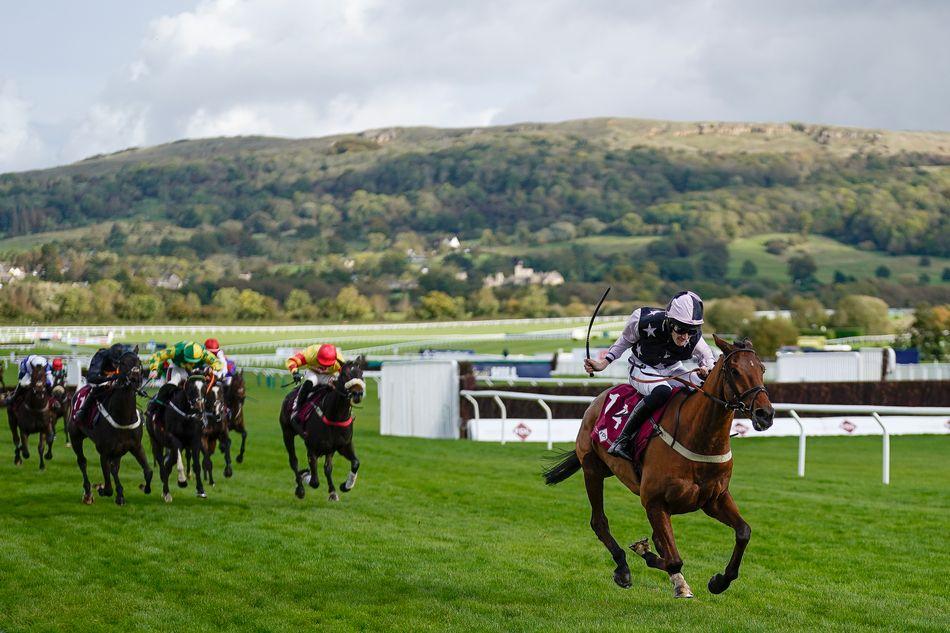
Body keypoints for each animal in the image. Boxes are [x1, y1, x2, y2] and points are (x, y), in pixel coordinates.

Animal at [68, 350, 152, 504]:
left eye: (139, 362)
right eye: (123, 363)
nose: (135, 379)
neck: (123, 417)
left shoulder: (136, 446)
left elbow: (148, 472)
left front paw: (144, 487)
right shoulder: (104, 452)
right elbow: (107, 488)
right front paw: (101, 488)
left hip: (118, 450)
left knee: (114, 468)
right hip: (75, 436)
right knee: (82, 461)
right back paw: (88, 492)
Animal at [145, 372, 208, 502]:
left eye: (204, 388)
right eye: (191, 388)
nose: (199, 407)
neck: (186, 416)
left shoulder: (195, 440)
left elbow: (197, 465)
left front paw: (201, 490)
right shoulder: (174, 439)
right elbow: (178, 462)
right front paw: (182, 481)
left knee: (168, 465)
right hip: (156, 442)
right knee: (162, 464)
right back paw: (166, 492)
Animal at [278, 358, 368, 502]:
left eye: (362, 374)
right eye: (344, 375)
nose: (357, 394)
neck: (335, 416)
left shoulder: (343, 445)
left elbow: (355, 463)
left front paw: (345, 486)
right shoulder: (312, 448)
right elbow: (314, 481)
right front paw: (304, 477)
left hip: (329, 449)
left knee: (327, 468)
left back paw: (332, 491)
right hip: (287, 433)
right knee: (293, 461)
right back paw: (300, 487)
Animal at [548, 336, 776, 596]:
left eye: (762, 369)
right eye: (735, 371)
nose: (765, 414)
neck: (698, 437)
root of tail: (598, 399)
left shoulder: (714, 499)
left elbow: (743, 532)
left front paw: (719, 581)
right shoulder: (654, 502)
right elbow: (674, 559)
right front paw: (647, 555)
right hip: (592, 470)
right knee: (599, 522)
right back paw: (623, 568)